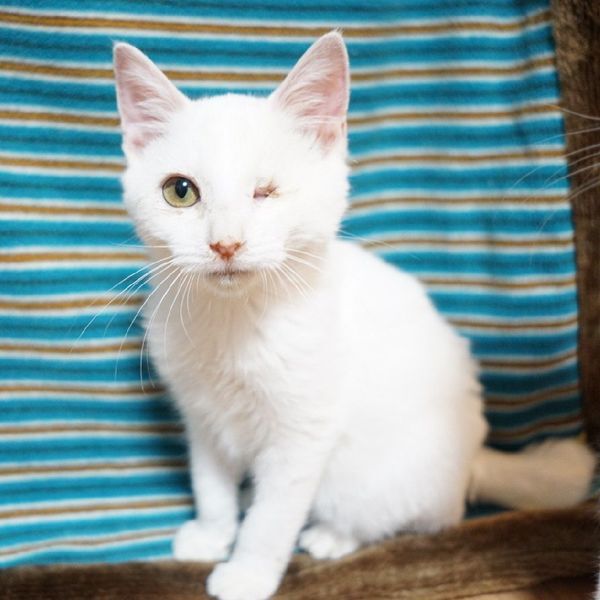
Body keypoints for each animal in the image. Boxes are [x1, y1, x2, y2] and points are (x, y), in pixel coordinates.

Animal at [113, 32, 596, 600]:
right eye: (180, 191)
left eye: (266, 191)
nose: (225, 244)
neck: (235, 324)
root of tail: (471, 458)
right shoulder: (201, 415)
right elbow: (210, 483)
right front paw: (212, 534)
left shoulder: (304, 432)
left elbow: (273, 517)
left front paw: (247, 573)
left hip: (380, 476)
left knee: (415, 515)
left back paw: (332, 536)